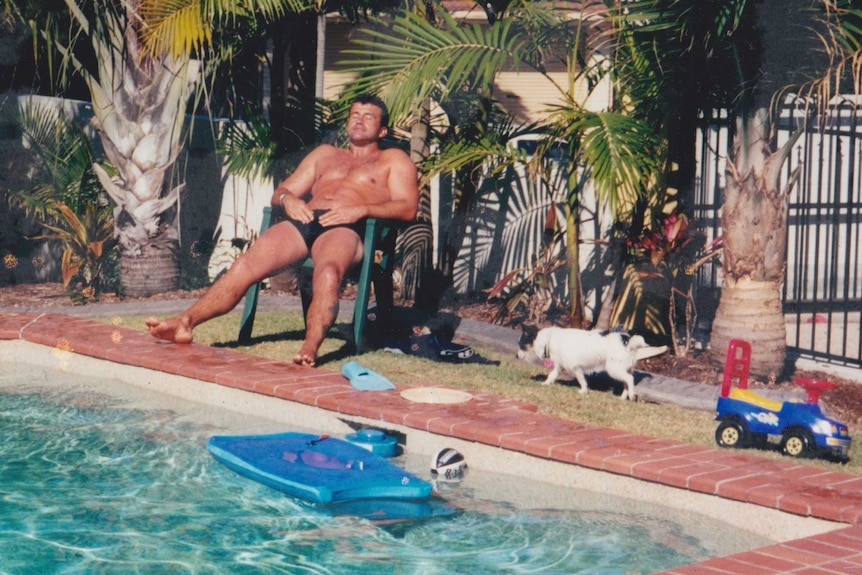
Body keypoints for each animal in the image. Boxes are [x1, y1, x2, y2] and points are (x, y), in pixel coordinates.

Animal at [520, 326, 648, 402]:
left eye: (521, 345)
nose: (517, 356)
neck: (549, 339)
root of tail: (627, 341)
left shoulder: (575, 367)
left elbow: (581, 380)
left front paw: (583, 391)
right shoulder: (559, 366)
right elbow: (552, 375)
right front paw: (546, 383)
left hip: (614, 369)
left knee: (630, 379)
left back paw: (631, 395)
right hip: (622, 369)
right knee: (626, 381)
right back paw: (623, 397)